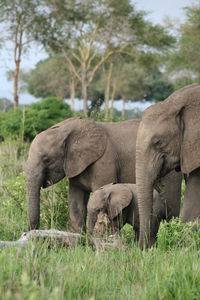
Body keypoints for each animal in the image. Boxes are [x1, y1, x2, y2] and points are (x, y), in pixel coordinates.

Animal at [26, 116, 181, 233]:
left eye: (47, 159)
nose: (32, 232)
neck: (66, 129)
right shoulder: (75, 165)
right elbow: (76, 202)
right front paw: (80, 239)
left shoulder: (104, 161)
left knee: (170, 201)